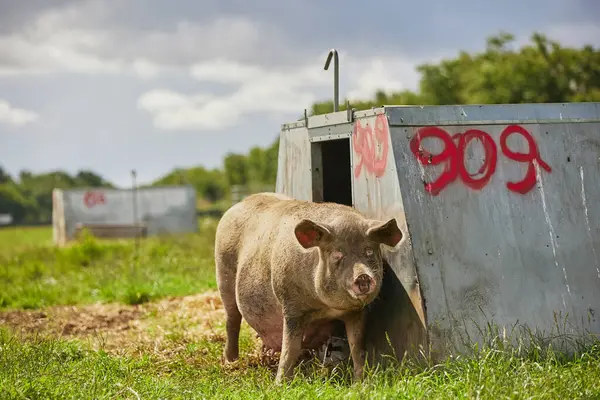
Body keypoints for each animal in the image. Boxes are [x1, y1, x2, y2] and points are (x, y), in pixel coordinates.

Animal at [213, 192, 400, 382]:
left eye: (369, 251)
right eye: (337, 254)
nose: (363, 276)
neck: (326, 307)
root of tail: (239, 203)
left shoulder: (356, 312)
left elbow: (357, 346)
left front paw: (360, 382)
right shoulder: (291, 307)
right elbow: (290, 348)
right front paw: (280, 383)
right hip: (223, 274)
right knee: (232, 320)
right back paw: (230, 361)